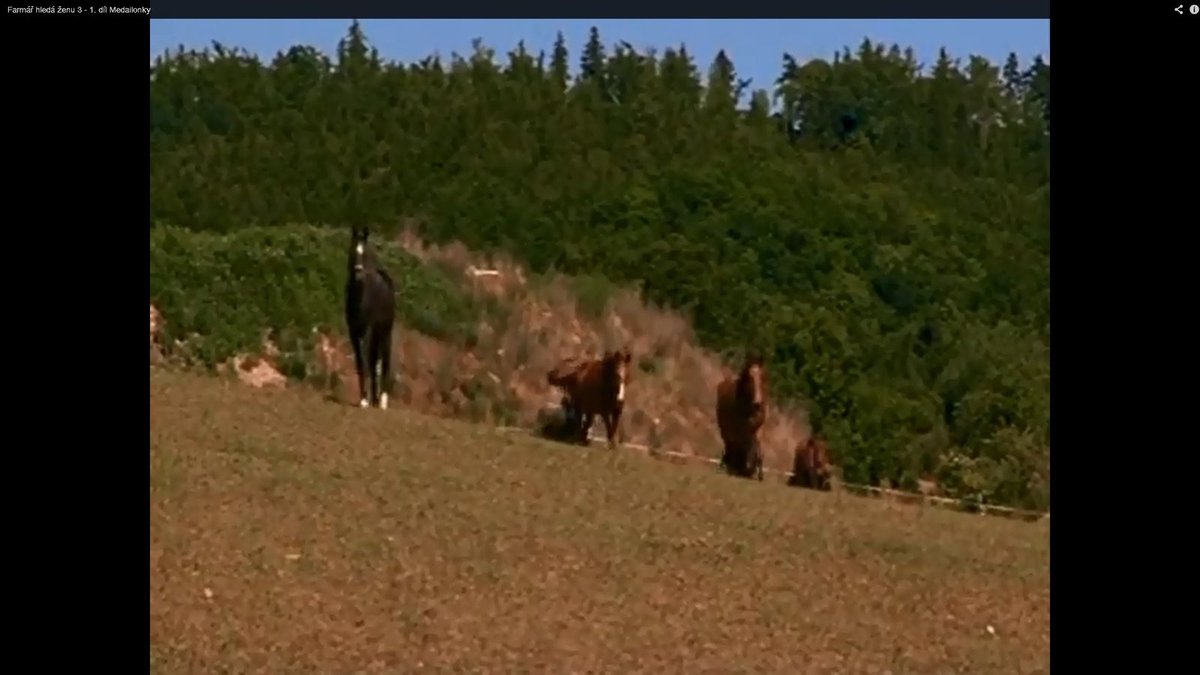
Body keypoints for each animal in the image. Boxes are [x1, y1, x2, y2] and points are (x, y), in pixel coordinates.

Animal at [345, 225, 396, 408]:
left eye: (365, 252)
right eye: (352, 250)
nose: (358, 272)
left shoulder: (367, 330)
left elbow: (368, 362)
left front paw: (368, 399)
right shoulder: (354, 331)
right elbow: (361, 363)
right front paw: (364, 399)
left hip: (385, 332)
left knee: (384, 360)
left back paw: (382, 401)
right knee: (375, 362)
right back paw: (375, 399)